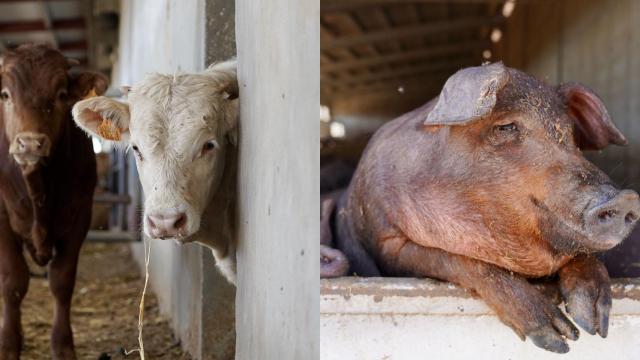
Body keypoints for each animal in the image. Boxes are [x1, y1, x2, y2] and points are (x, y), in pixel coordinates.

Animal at [0, 45, 106, 360]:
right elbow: (13, 282)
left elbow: (62, 281)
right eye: (5, 94)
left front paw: (63, 345)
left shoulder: (80, 215)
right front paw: (9, 344)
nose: (29, 143)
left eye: (60, 95)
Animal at [324, 62, 640, 352]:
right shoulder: (387, 242)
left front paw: (594, 324)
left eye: (571, 136)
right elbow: (462, 262)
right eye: (506, 126)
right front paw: (559, 338)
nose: (625, 199)